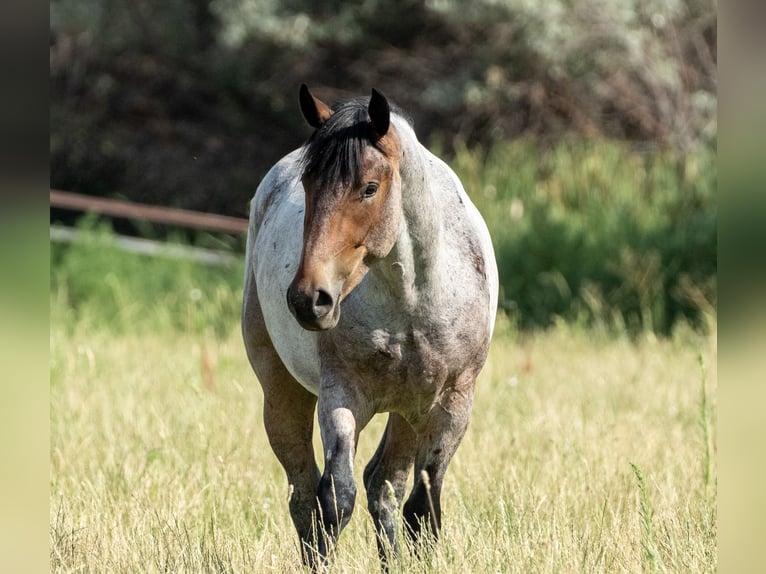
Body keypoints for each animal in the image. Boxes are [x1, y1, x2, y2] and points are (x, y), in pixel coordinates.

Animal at [243, 85, 500, 572]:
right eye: (308, 184)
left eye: (369, 187)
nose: (309, 299)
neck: (412, 299)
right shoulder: (341, 396)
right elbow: (335, 500)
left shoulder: (451, 403)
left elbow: (422, 507)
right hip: (280, 394)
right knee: (304, 494)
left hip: (409, 409)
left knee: (385, 486)